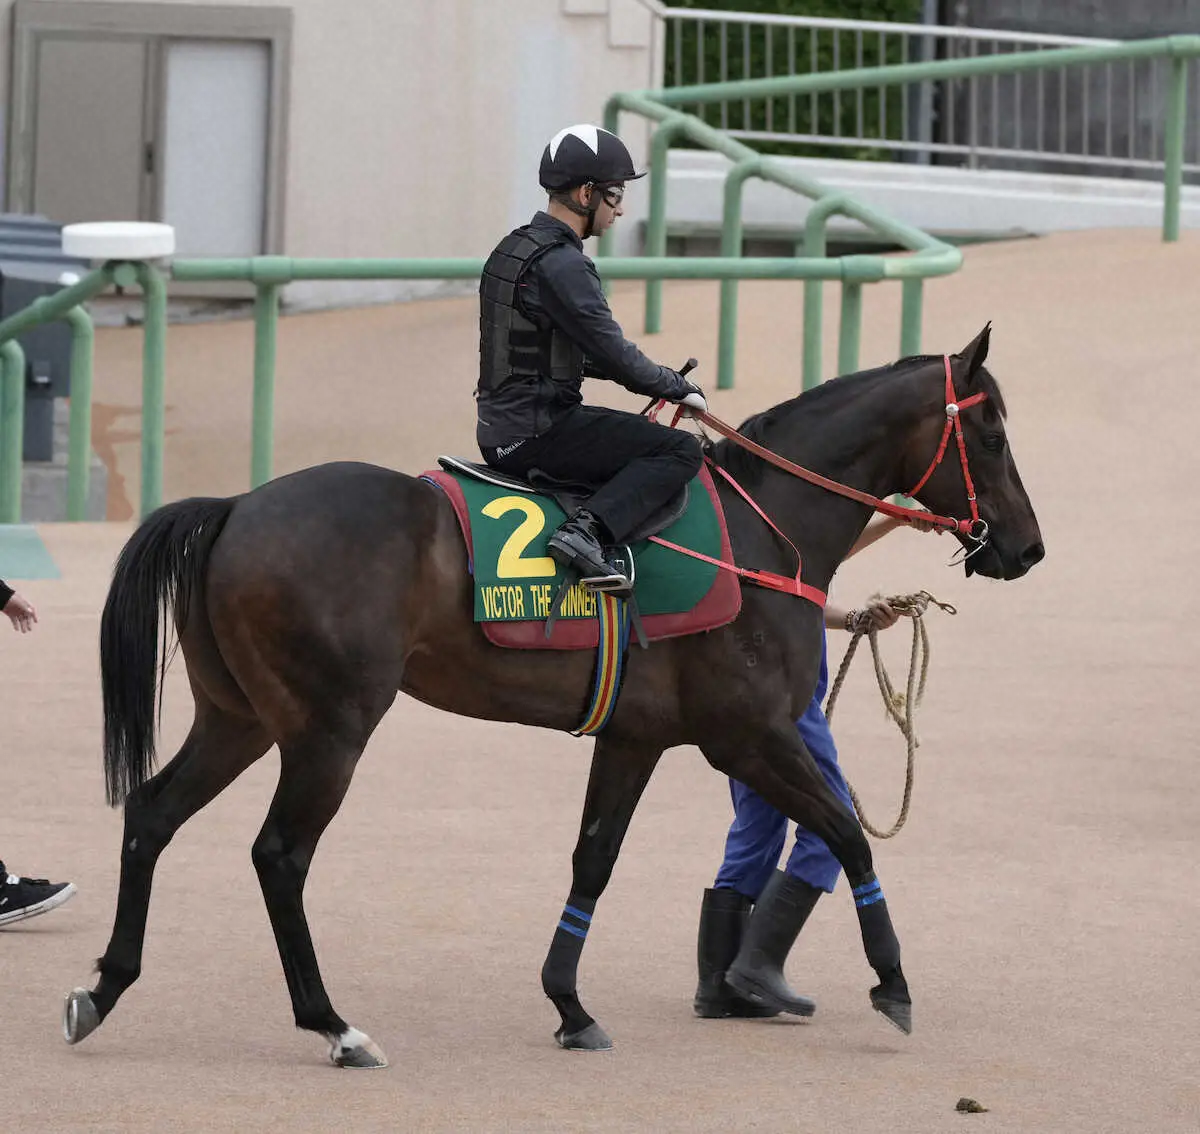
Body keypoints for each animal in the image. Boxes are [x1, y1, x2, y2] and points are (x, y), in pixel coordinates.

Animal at [65, 326, 1041, 1060]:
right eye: (992, 434)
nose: (1025, 547)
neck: (761, 529)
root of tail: (234, 507)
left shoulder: (636, 737)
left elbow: (593, 860)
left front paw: (569, 1005)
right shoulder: (750, 736)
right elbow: (847, 835)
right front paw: (893, 981)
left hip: (240, 719)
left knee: (151, 814)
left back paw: (104, 988)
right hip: (329, 729)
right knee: (279, 855)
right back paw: (332, 1025)